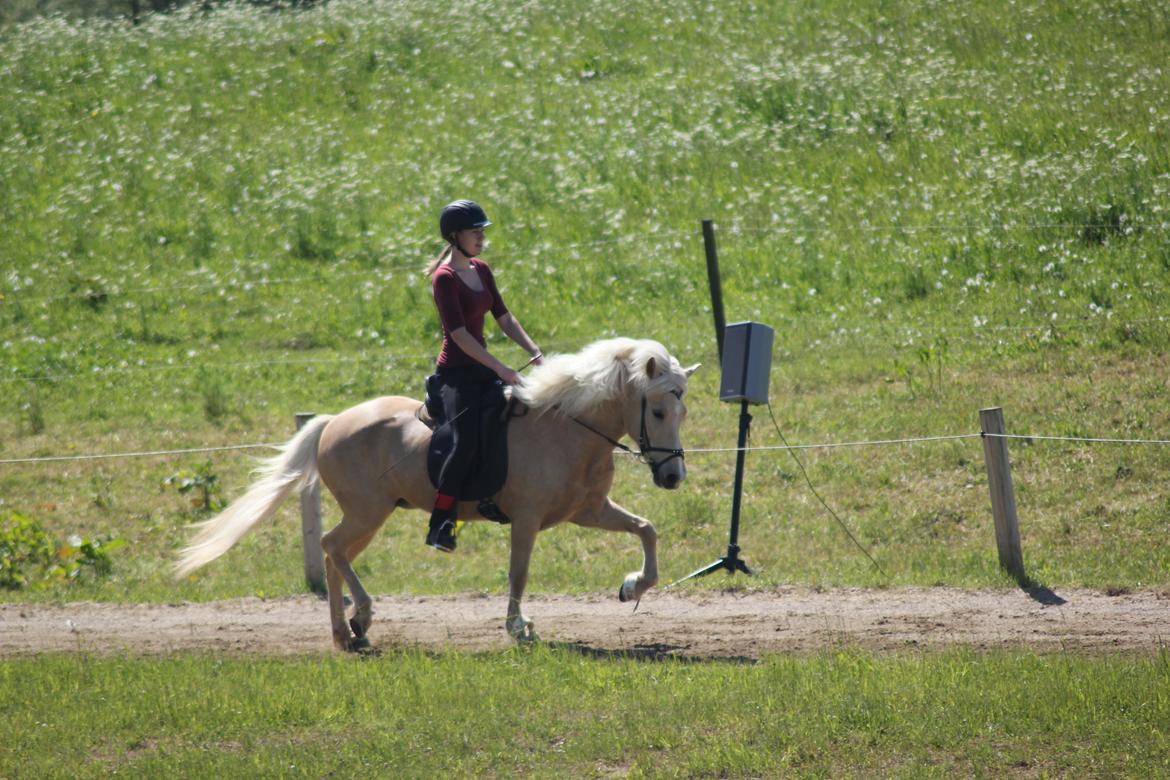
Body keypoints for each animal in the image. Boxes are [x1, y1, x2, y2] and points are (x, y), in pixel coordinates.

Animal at [174, 339, 697, 650]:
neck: (567, 427)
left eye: (683, 412)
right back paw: (360, 618)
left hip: (370, 517)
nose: (673, 477)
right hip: (367, 512)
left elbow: (647, 531)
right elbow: (519, 573)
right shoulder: (527, 520)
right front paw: (518, 627)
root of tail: (334, 420)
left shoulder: (588, 510)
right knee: (330, 547)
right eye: (656, 411)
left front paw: (633, 586)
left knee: (334, 555)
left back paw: (348, 632)